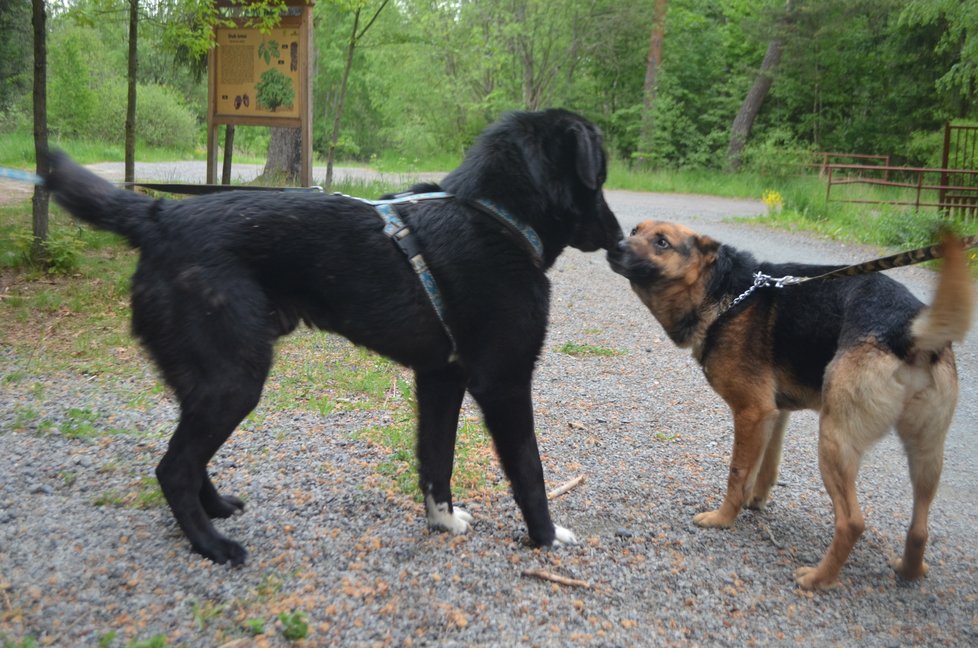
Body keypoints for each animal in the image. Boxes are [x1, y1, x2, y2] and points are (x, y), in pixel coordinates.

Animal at [43, 109, 616, 564]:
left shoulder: (440, 379)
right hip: (235, 380)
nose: (619, 235)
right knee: (173, 468)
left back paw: (216, 509)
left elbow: (437, 461)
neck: (495, 217)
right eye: (600, 176)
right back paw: (211, 545)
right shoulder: (504, 384)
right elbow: (529, 472)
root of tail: (160, 213)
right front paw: (546, 537)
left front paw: (442, 522)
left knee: (187, 456)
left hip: (204, 378)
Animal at [608, 221, 972, 588]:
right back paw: (909, 571)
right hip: (926, 454)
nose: (614, 246)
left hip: (834, 442)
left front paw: (723, 518)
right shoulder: (773, 414)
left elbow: (737, 474)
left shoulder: (751, 413)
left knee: (852, 522)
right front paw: (754, 501)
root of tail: (905, 330)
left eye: (662, 243)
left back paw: (817, 579)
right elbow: (764, 468)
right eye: (635, 231)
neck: (729, 295)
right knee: (920, 530)